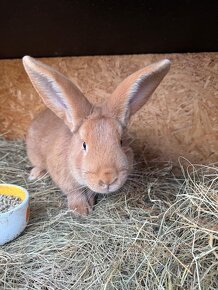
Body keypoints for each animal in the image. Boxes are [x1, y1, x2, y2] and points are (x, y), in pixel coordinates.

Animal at [23, 56, 171, 215]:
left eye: (121, 142)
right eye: (84, 145)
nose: (108, 179)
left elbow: (89, 192)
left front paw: (90, 204)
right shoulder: (66, 181)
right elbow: (75, 193)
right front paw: (80, 211)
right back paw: (35, 175)